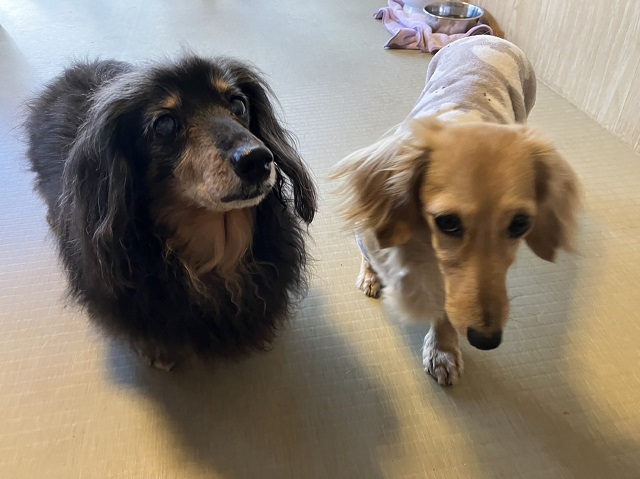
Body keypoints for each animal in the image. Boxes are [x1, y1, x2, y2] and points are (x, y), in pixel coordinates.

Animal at [331, 36, 580, 386]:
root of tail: (489, 35)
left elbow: (446, 306)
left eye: (520, 224)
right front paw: (373, 274)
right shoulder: (376, 237)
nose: (487, 339)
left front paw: (443, 349)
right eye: (447, 222)